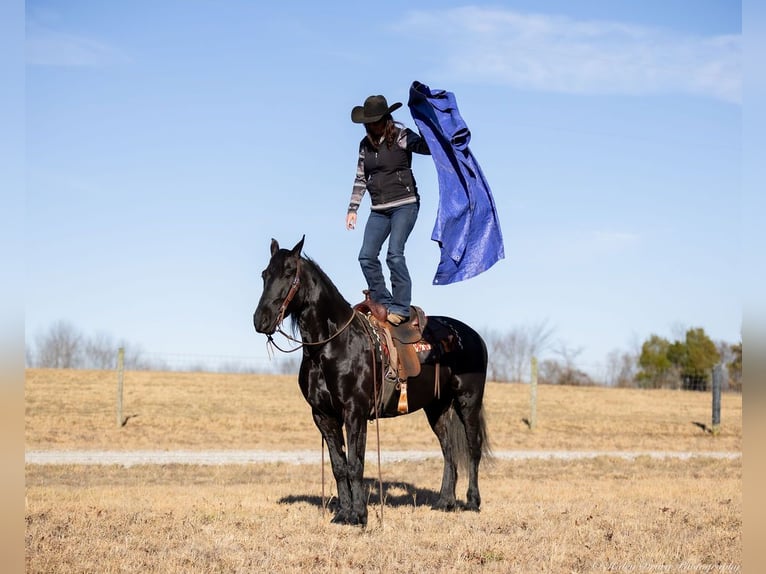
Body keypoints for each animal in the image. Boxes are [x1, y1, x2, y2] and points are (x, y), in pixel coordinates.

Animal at [254, 237, 492, 528]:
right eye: (265, 274)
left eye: (289, 273)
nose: (261, 320)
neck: (333, 344)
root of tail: (472, 336)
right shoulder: (323, 416)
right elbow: (339, 466)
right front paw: (343, 513)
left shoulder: (354, 412)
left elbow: (356, 464)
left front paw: (359, 515)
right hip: (436, 408)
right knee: (448, 450)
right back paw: (444, 502)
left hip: (469, 402)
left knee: (472, 448)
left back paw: (472, 502)